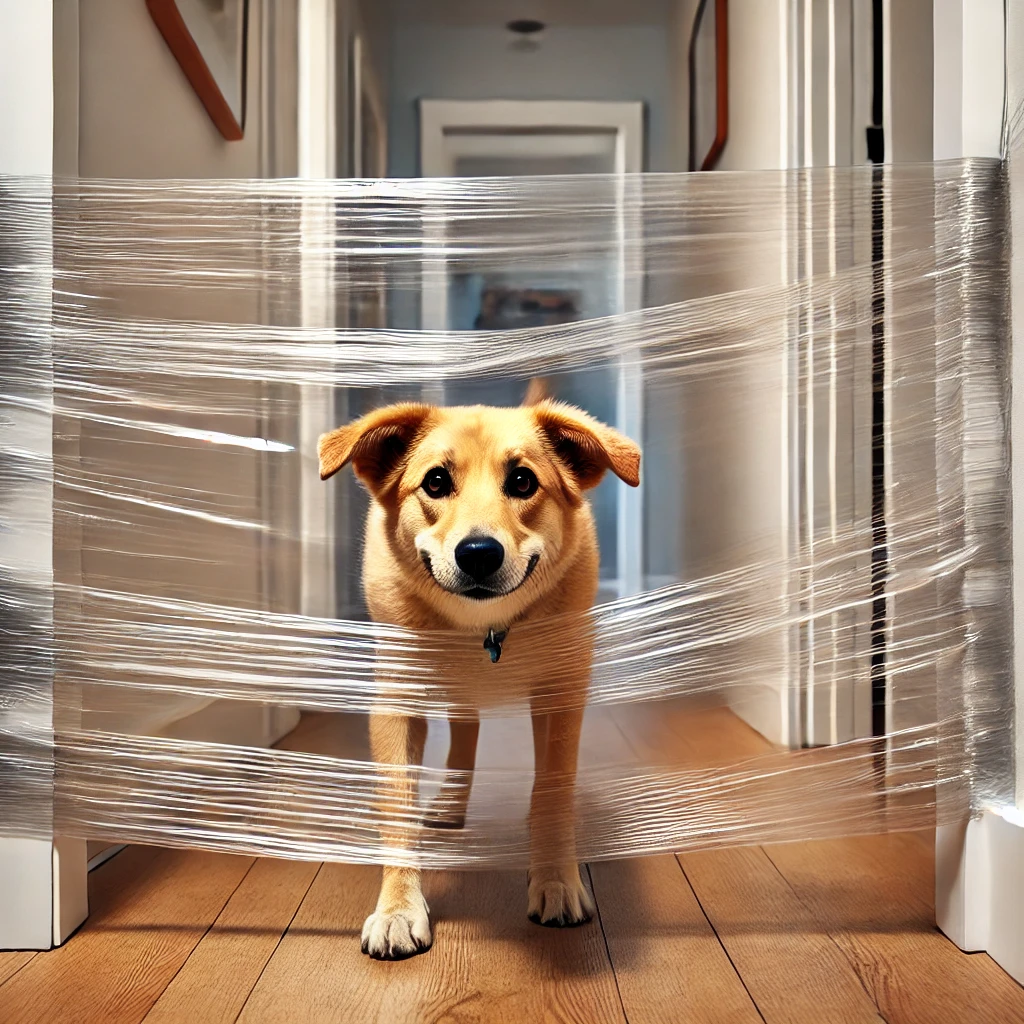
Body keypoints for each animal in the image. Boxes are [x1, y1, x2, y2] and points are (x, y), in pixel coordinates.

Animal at [317, 382, 638, 958]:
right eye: (436, 481)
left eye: (523, 480)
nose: (479, 553)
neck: (483, 626)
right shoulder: (396, 702)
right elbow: (397, 808)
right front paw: (398, 908)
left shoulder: (561, 692)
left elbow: (553, 787)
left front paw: (555, 878)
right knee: (466, 728)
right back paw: (449, 801)